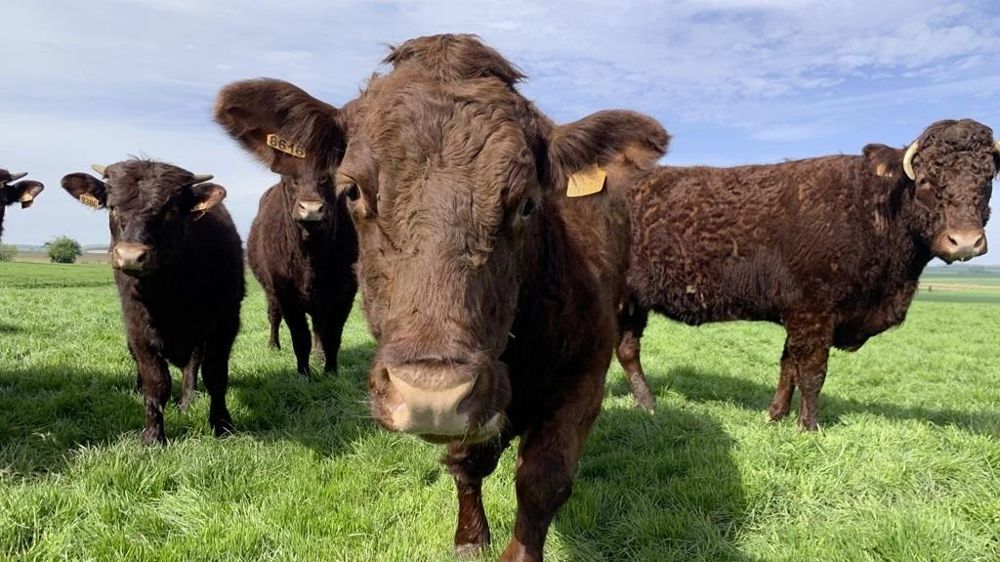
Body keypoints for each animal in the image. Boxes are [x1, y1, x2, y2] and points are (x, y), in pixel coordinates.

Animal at [61, 160, 245, 444]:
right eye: (112, 207)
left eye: (170, 210)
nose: (130, 256)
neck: (169, 292)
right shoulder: (137, 327)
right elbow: (156, 381)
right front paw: (153, 436)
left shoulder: (224, 322)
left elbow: (214, 375)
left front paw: (222, 425)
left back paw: (186, 403)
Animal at [245, 174, 358, 376]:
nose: (312, 210)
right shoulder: (285, 294)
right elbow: (300, 336)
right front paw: (303, 374)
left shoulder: (345, 294)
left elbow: (331, 334)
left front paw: (330, 370)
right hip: (270, 291)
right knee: (274, 316)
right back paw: (273, 346)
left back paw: (319, 354)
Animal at [617, 119, 999, 430]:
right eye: (925, 180)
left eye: (987, 179)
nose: (965, 241)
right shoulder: (813, 311)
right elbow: (813, 372)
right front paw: (809, 427)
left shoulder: (801, 313)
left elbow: (789, 366)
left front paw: (775, 416)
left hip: (633, 304)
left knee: (627, 350)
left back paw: (648, 406)